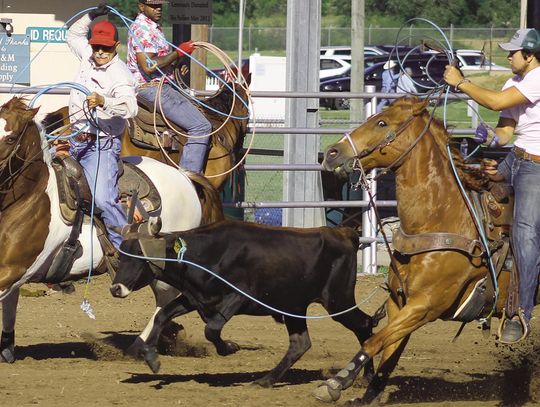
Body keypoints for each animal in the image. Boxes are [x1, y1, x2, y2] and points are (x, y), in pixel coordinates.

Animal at [314, 98, 524, 404]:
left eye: (382, 123)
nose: (332, 153)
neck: (441, 219)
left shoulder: (425, 305)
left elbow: (375, 341)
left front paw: (336, 382)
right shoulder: (399, 303)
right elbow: (390, 350)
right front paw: (368, 395)